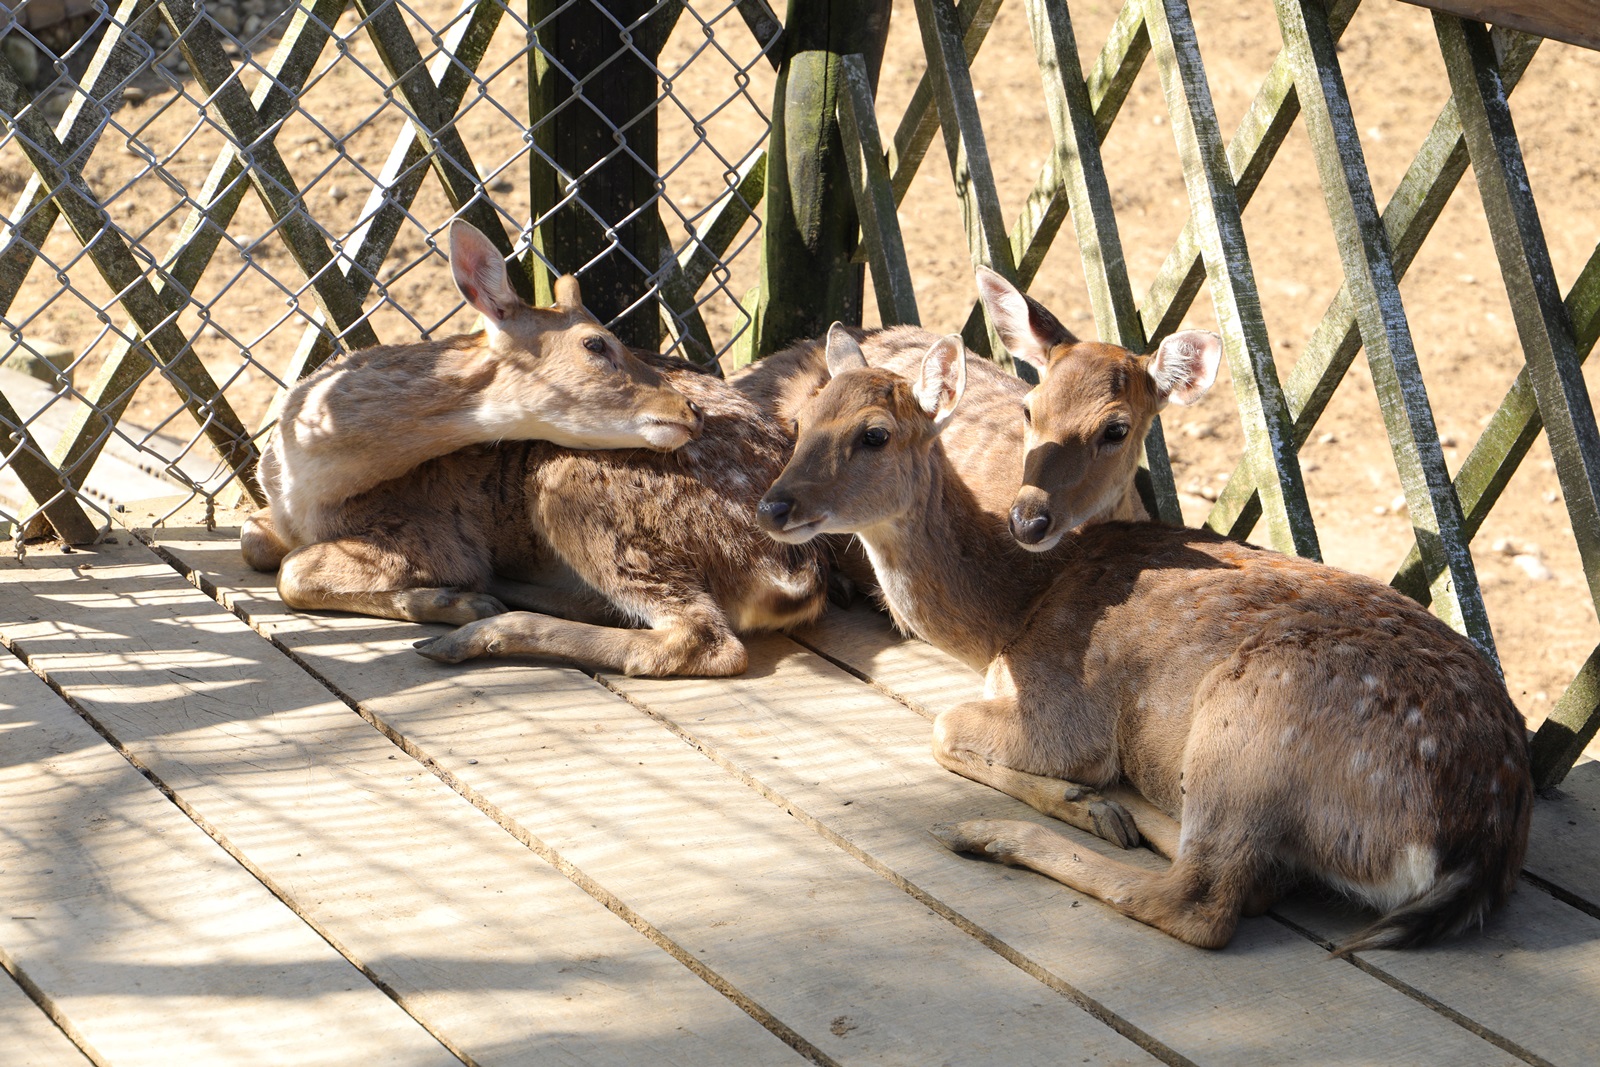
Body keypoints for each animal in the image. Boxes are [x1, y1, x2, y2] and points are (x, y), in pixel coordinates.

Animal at [241, 220, 827, 677]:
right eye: (596, 344)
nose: (691, 412)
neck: (307, 486)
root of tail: (792, 576)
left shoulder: (429, 534)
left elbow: (293, 572)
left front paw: (454, 600)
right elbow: (256, 542)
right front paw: (456, 598)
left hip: (568, 482)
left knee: (705, 639)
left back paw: (470, 633)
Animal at [755, 321, 1531, 954]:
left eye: (874, 433)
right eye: (805, 418)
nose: (774, 505)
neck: (1012, 614)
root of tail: (1482, 842)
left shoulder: (1068, 712)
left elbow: (946, 729)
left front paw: (1076, 797)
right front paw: (1089, 804)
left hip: (1250, 725)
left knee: (1202, 900)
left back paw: (993, 833)